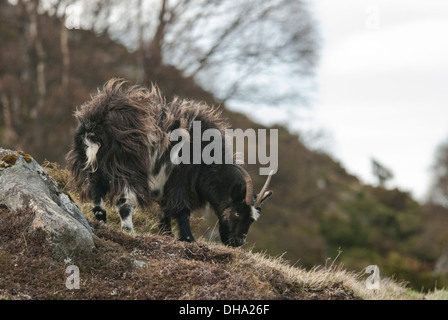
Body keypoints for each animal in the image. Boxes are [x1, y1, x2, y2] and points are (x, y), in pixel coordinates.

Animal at [65, 79, 270, 246]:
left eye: (252, 219)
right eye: (237, 213)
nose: (237, 242)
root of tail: (98, 120)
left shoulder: (165, 186)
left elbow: (165, 211)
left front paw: (167, 234)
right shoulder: (179, 182)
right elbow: (181, 210)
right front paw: (188, 239)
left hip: (92, 162)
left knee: (96, 187)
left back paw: (101, 218)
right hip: (127, 167)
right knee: (124, 200)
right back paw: (129, 230)